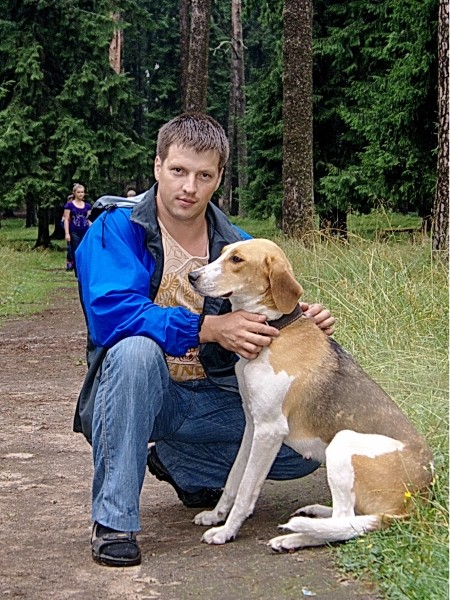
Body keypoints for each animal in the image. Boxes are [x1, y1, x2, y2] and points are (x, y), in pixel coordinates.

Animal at [188, 238, 433, 551]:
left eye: (237, 260)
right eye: (222, 254)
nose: (192, 276)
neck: (276, 329)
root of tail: (419, 499)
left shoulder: (269, 431)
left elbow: (245, 490)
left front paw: (226, 531)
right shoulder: (252, 425)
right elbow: (233, 479)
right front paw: (216, 516)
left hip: (342, 442)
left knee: (346, 522)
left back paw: (296, 537)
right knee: (347, 517)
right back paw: (314, 516)